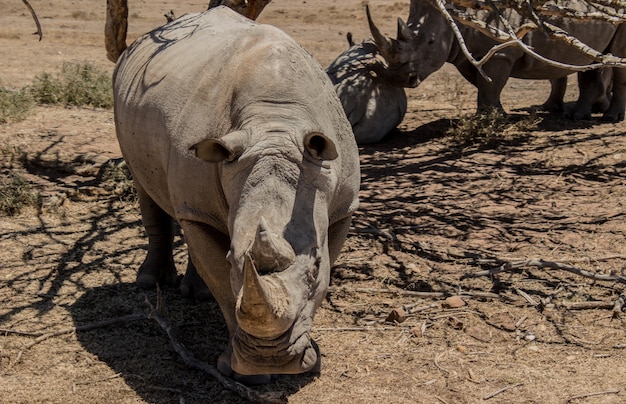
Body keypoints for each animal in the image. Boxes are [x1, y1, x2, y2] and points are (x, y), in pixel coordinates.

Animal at [109, 6, 358, 382]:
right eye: (230, 262)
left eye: (315, 269)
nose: (272, 360)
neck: (276, 127)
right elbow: (224, 286)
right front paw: (244, 374)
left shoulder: (343, 205)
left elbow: (328, 261)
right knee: (149, 189)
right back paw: (150, 282)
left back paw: (194, 293)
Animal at [368, 0, 620, 120]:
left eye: (430, 42)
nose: (400, 79)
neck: (457, 15)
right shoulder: (468, 53)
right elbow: (486, 84)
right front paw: (496, 114)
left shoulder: (499, 51)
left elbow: (489, 84)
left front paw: (489, 120)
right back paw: (558, 110)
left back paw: (601, 117)